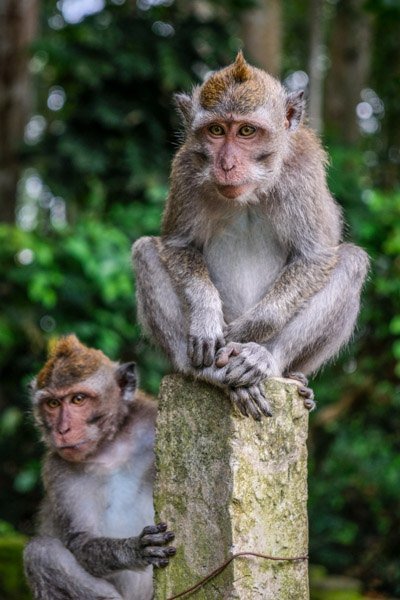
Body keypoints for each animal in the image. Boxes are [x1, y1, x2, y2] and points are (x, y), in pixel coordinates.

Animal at [23, 338, 176, 600]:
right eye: (53, 403)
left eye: (78, 399)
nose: (62, 430)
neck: (110, 448)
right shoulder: (57, 470)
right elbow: (82, 540)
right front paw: (132, 549)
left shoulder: (150, 421)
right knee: (40, 552)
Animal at [133, 51, 370, 420]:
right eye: (216, 130)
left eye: (246, 131)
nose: (227, 164)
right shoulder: (185, 168)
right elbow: (177, 245)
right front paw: (206, 316)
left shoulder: (302, 170)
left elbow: (315, 256)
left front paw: (246, 331)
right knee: (145, 251)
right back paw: (202, 370)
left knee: (351, 261)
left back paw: (265, 359)